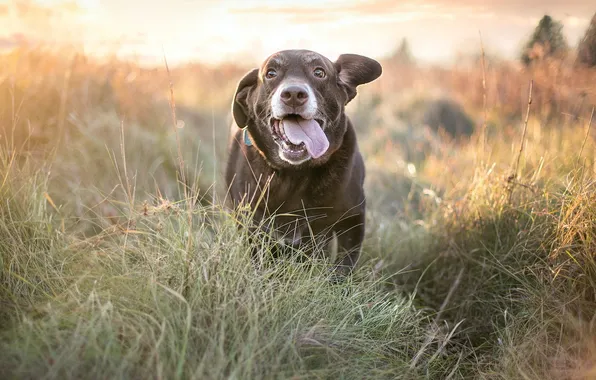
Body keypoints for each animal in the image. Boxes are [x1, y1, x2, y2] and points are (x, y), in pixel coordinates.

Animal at [224, 49, 382, 276]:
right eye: (271, 73)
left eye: (319, 72)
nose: (293, 94)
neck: (295, 173)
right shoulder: (252, 224)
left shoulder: (352, 219)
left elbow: (343, 267)